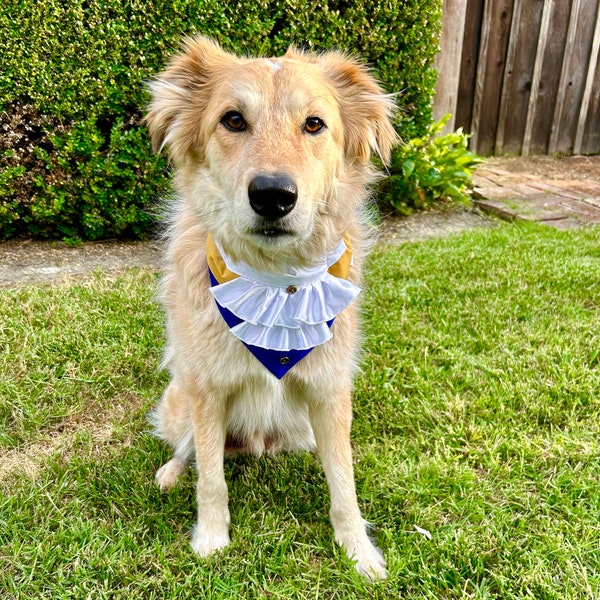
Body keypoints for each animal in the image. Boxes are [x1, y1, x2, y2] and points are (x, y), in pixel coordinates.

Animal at [145, 35, 396, 580]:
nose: (273, 196)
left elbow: (343, 481)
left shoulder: (329, 391)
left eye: (315, 124)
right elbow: (211, 479)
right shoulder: (207, 391)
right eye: (233, 120)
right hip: (181, 400)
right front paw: (211, 539)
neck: (280, 283)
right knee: (187, 449)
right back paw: (170, 472)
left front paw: (357, 551)